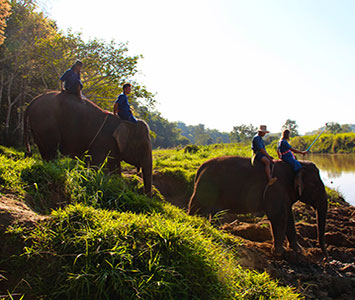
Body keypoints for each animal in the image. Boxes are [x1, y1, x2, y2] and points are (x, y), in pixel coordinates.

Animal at [24, 90, 152, 196]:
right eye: (143, 146)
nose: (146, 196)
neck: (124, 121)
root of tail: (32, 101)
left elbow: (115, 168)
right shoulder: (103, 141)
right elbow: (97, 166)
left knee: (45, 150)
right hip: (46, 123)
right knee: (51, 150)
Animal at [188, 156, 330, 258]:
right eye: (315, 186)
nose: (325, 258)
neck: (296, 164)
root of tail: (200, 168)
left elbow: (289, 217)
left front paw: (298, 250)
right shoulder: (275, 188)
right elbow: (278, 215)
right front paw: (279, 253)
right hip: (205, 188)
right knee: (197, 207)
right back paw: (194, 223)